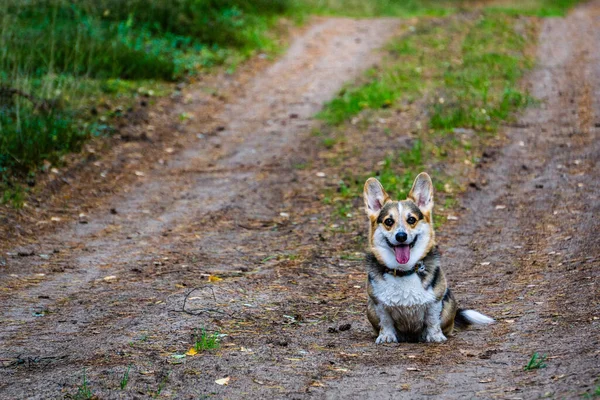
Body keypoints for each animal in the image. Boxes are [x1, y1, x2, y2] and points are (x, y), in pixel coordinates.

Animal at [360, 173, 492, 344]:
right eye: (389, 221)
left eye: (411, 220)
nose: (401, 236)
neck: (404, 271)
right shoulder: (378, 303)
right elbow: (386, 320)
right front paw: (386, 336)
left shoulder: (435, 300)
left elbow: (432, 319)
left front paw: (434, 336)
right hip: (369, 308)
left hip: (449, 303)